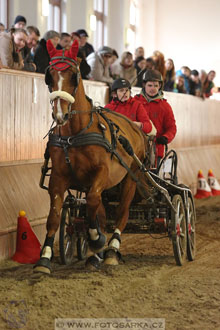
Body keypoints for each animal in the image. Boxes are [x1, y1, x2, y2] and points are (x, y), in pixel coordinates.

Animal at [33, 40, 149, 274]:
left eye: (73, 75)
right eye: (50, 75)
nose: (60, 114)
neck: (75, 134)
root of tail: (135, 127)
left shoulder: (101, 174)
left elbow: (93, 204)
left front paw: (96, 239)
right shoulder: (58, 178)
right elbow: (54, 217)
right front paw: (45, 257)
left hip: (130, 178)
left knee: (121, 214)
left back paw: (111, 250)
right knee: (102, 215)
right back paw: (96, 255)